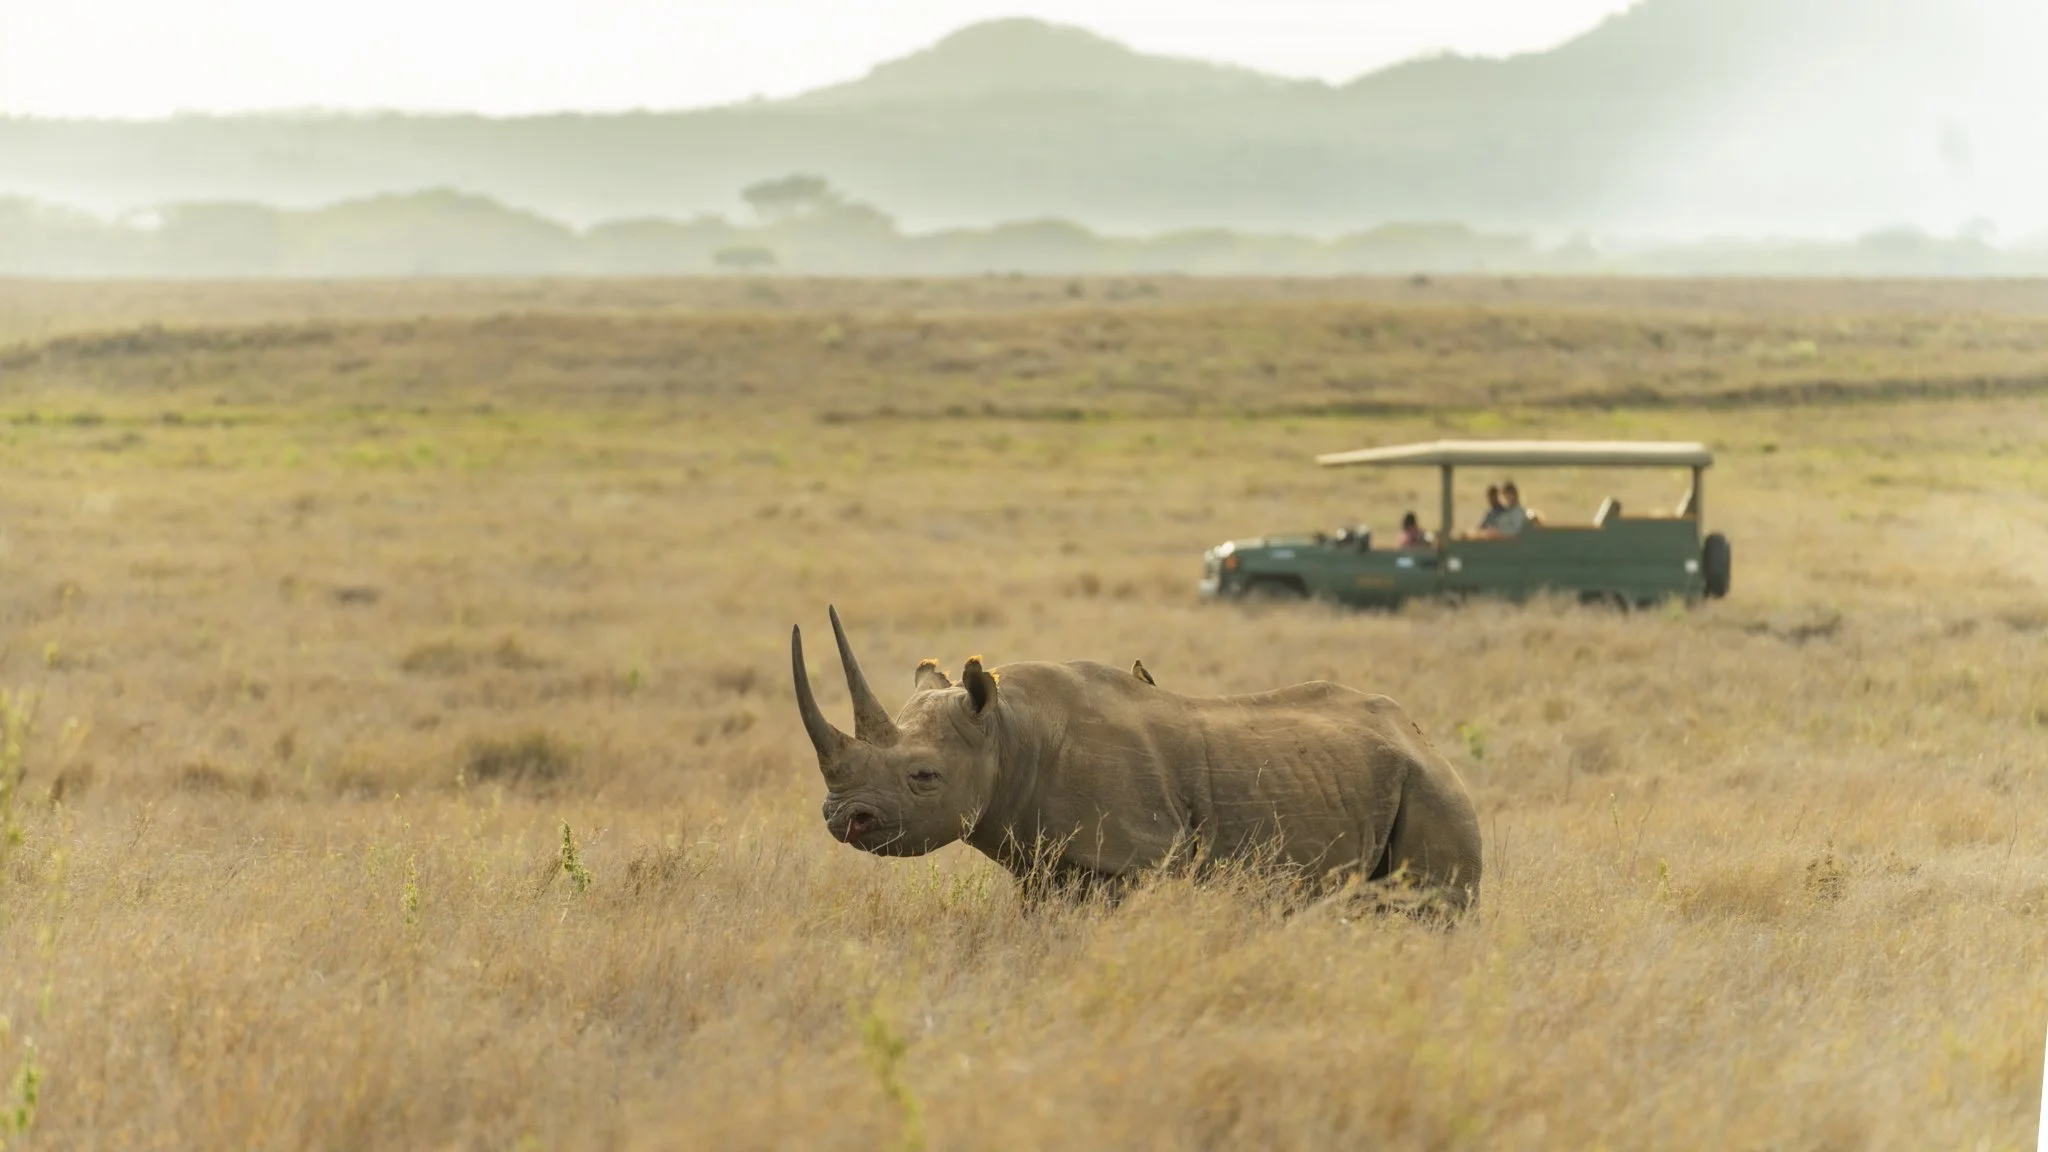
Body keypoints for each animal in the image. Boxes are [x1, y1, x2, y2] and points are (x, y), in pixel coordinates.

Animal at [791, 607, 1483, 914]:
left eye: (924, 777)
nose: (840, 818)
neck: (1008, 734)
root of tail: (1423, 739)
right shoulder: (1044, 863)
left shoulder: (1134, 857)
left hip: (1431, 787)